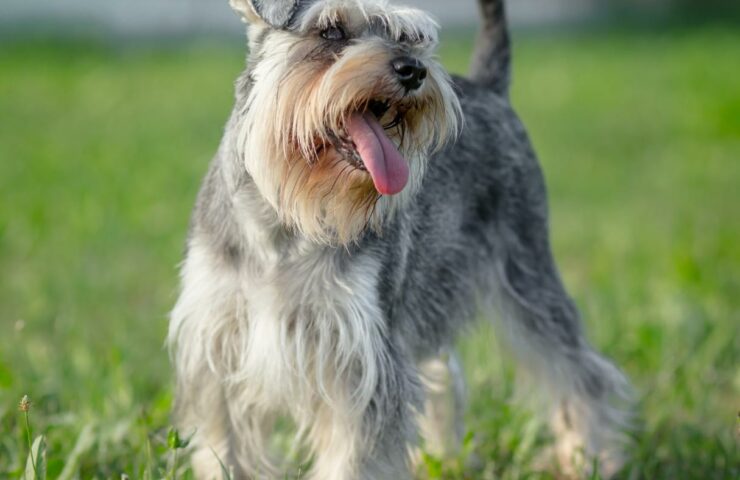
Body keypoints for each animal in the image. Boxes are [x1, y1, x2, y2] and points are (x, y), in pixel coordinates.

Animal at [166, 1, 632, 478]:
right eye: (330, 31)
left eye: (410, 36)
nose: (413, 70)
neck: (285, 221)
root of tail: (490, 88)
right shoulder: (217, 349)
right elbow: (225, 447)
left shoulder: (360, 364)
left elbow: (354, 459)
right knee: (446, 374)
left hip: (526, 273)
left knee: (578, 372)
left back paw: (589, 458)